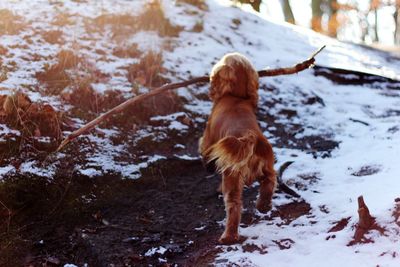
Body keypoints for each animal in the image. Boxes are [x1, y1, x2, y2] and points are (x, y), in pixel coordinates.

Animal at [199, 53, 276, 246]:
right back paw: (263, 206)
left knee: (234, 206)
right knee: (270, 182)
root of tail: (249, 137)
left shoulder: (208, 138)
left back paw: (228, 237)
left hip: (232, 177)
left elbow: (205, 152)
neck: (236, 97)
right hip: (267, 167)